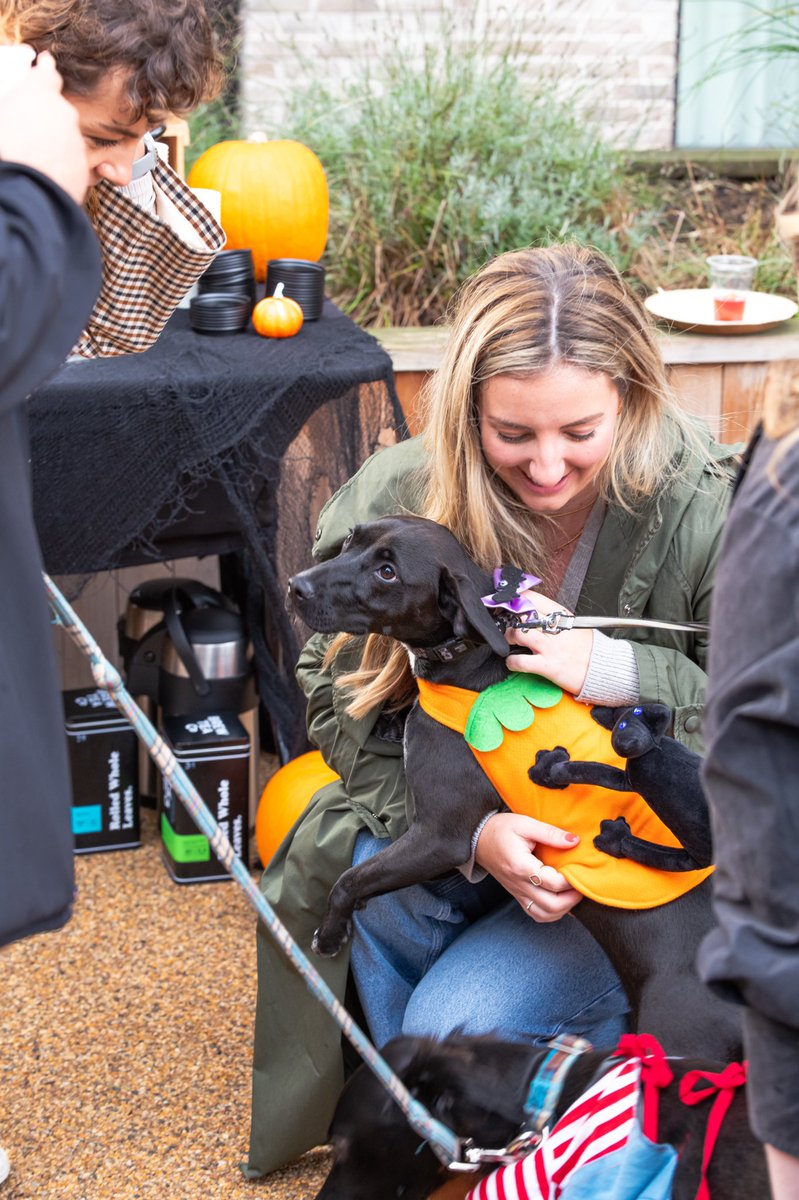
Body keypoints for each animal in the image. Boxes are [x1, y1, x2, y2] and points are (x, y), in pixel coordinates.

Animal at [287, 516, 739, 1060]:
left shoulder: (440, 836)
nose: (295, 586)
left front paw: (330, 933)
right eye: (352, 539)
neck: (471, 656)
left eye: (388, 572)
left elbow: (350, 879)